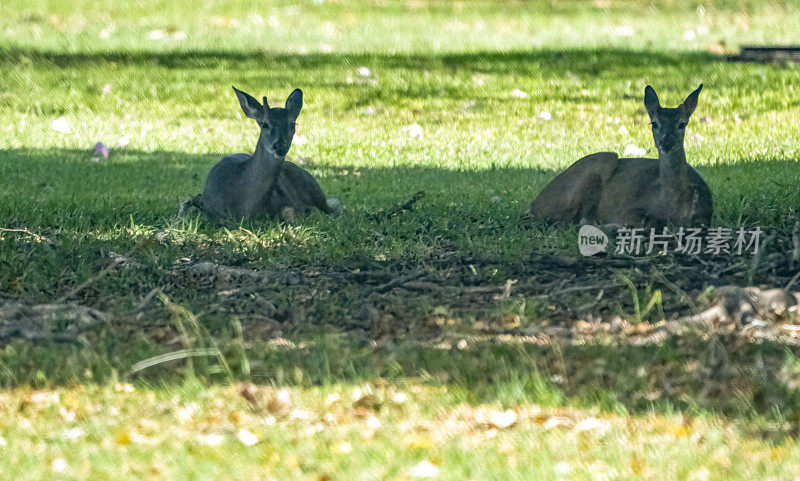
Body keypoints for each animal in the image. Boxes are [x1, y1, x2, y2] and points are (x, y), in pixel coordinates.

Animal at [524, 84, 712, 227]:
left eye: (682, 124)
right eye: (654, 123)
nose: (666, 141)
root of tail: (534, 204)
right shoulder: (630, 208)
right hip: (602, 162)